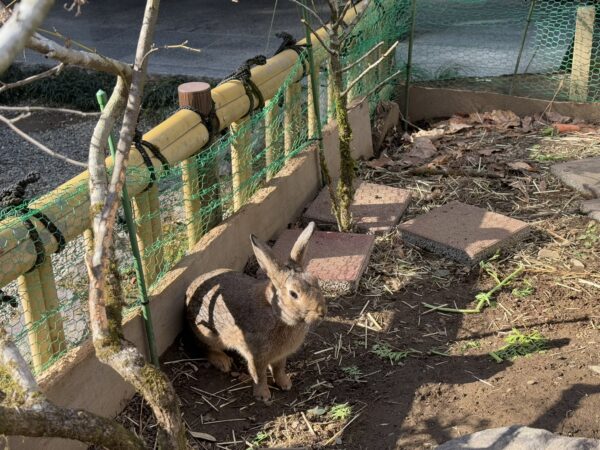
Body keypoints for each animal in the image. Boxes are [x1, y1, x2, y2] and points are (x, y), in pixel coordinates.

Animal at [185, 223, 326, 402]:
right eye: (293, 294)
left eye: (316, 281)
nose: (322, 312)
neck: (275, 312)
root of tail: (187, 295)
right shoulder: (256, 356)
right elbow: (259, 375)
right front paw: (263, 395)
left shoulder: (280, 356)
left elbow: (279, 369)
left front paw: (285, 384)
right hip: (208, 334)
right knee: (205, 348)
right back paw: (224, 362)